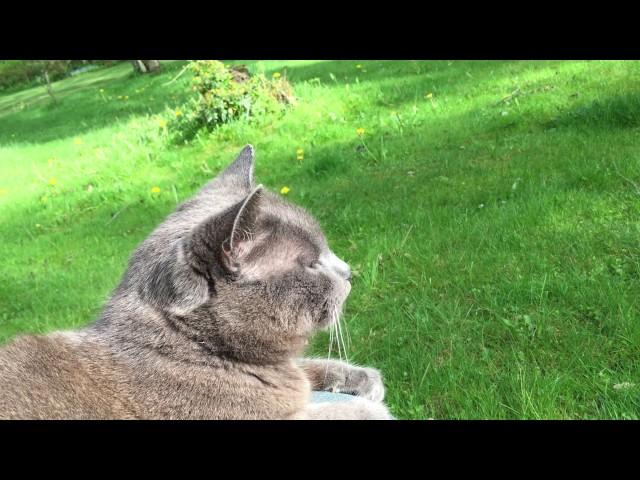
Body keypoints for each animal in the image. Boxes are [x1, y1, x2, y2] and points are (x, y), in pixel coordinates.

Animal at [0, 146, 390, 420]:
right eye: (312, 264)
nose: (349, 271)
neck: (194, 349)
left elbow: (306, 369)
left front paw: (362, 379)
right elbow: (330, 409)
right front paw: (370, 407)